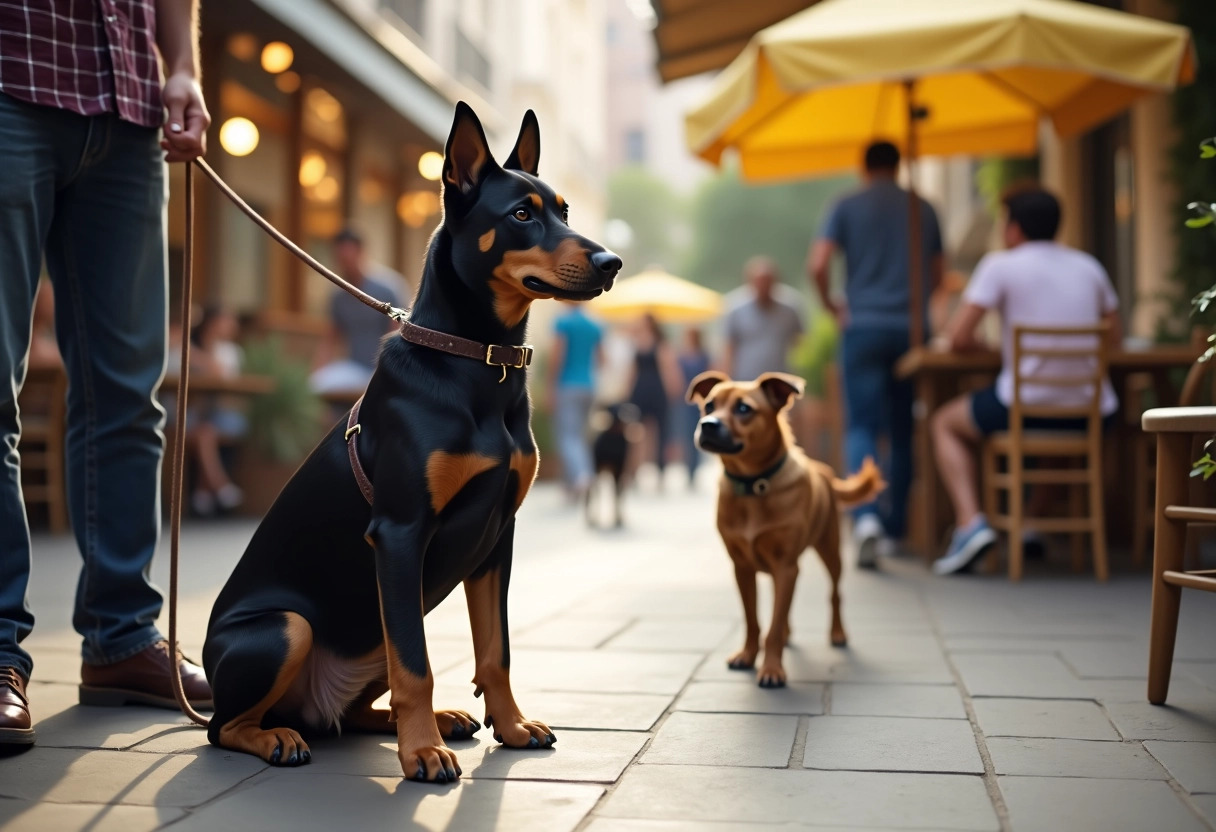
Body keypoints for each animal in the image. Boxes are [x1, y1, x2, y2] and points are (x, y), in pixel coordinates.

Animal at [588, 401, 646, 530]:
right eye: (616, 410)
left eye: (628, 411)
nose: (632, 418)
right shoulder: (599, 467)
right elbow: (602, 492)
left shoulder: (619, 469)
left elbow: (617, 494)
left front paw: (618, 519)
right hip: (599, 469)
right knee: (595, 489)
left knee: (616, 491)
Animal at [685, 374, 885, 686]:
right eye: (709, 406)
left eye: (743, 408)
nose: (708, 424)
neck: (754, 485)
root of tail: (824, 471)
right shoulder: (743, 568)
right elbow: (754, 621)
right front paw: (748, 655)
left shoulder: (785, 566)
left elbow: (773, 627)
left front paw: (771, 669)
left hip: (830, 553)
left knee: (834, 595)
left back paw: (838, 633)